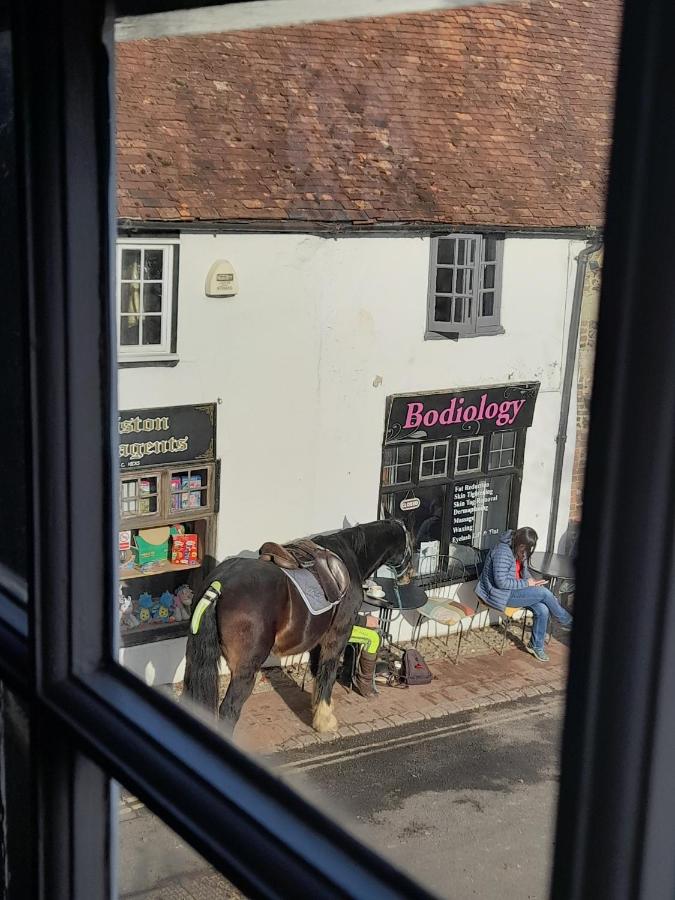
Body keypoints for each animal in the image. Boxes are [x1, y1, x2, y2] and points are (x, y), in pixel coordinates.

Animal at [181, 516, 412, 736]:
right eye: (411, 542)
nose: (409, 577)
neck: (351, 556)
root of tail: (219, 584)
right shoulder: (338, 635)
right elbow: (327, 674)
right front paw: (325, 722)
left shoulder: (319, 639)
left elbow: (317, 672)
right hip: (246, 668)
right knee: (229, 710)